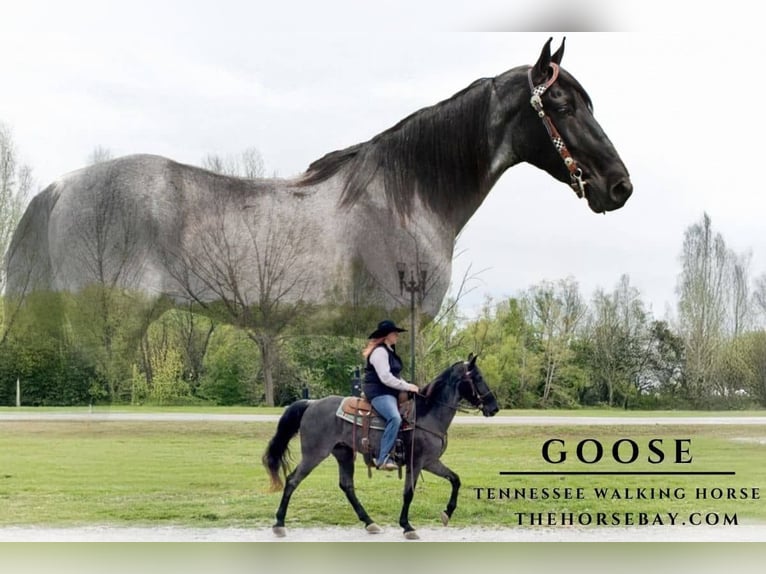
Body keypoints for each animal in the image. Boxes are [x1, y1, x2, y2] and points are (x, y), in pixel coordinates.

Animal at [262, 353, 498, 539]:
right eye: (478, 377)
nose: (494, 407)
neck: (427, 413)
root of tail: (311, 403)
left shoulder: (430, 461)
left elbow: (455, 479)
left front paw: (446, 514)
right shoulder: (416, 462)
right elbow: (408, 493)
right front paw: (407, 526)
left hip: (343, 453)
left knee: (347, 486)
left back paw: (370, 522)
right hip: (314, 454)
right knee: (292, 480)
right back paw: (279, 524)